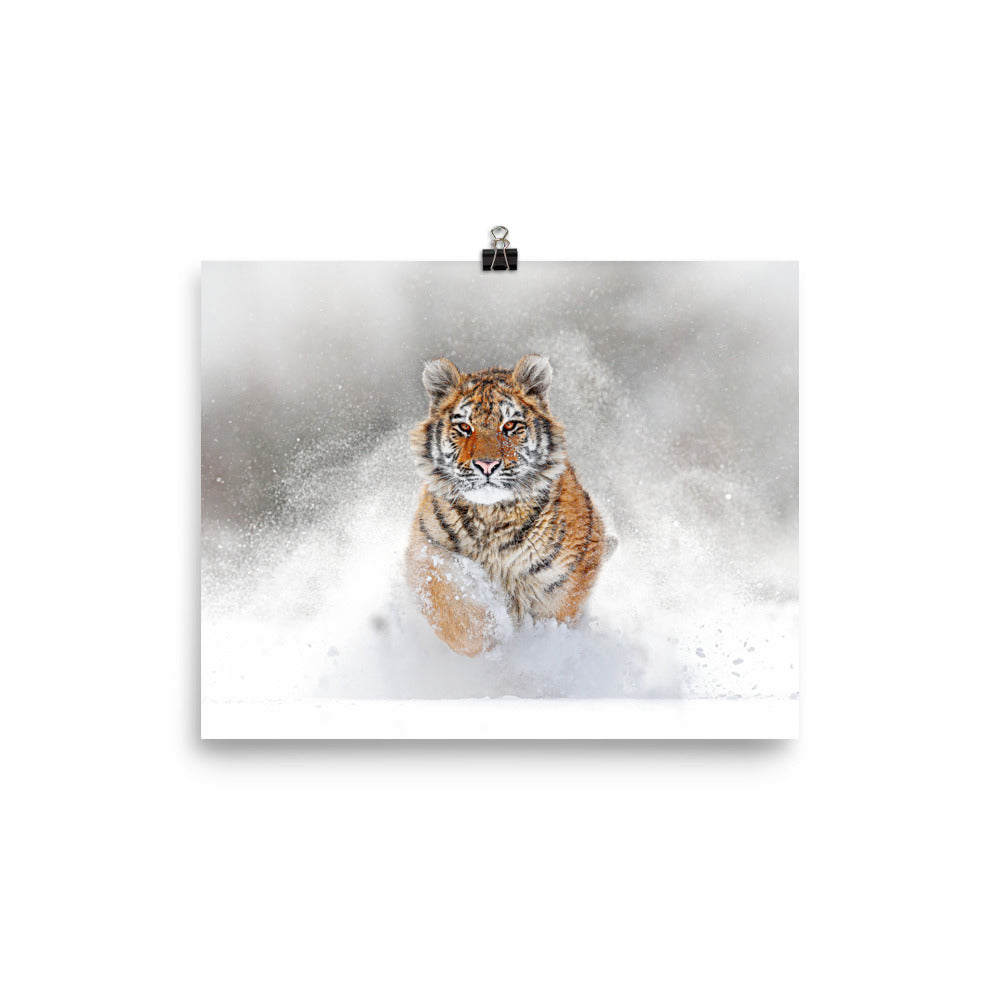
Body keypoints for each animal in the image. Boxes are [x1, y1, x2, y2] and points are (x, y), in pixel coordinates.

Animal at [405, 354, 615, 657]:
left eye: (510, 426)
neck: (491, 516)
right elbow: (451, 602)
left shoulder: (566, 579)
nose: (486, 465)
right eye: (464, 427)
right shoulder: (426, 551)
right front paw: (490, 635)